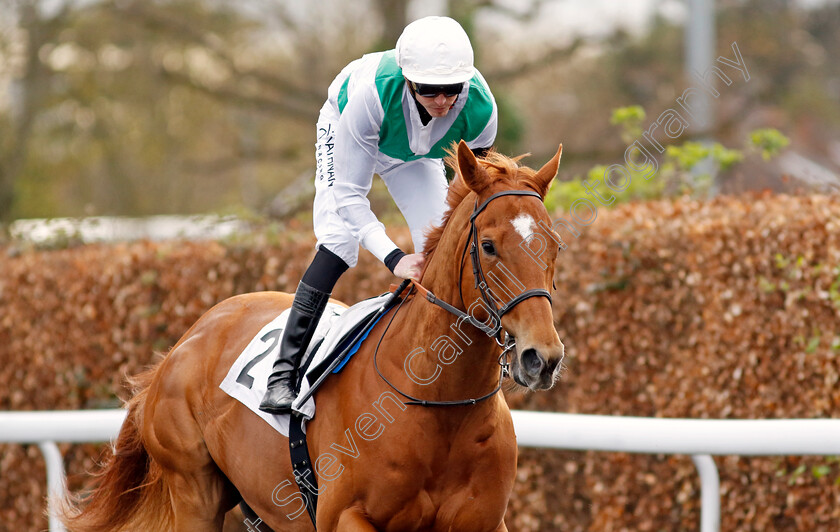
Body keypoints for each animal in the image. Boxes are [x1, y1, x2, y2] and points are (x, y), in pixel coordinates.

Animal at [60, 141, 564, 532]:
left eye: (555, 245)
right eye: (489, 246)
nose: (542, 357)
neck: (440, 403)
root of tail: (180, 346)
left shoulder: (484, 521)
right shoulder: (345, 516)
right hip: (195, 494)